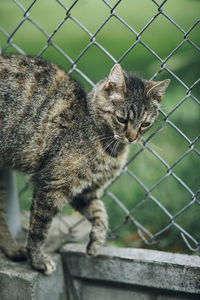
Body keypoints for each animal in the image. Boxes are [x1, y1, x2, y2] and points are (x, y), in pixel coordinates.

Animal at [0, 54, 170, 274]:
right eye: (122, 119)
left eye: (145, 124)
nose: (132, 138)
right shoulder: (51, 185)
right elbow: (39, 230)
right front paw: (37, 260)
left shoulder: (86, 191)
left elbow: (101, 214)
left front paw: (96, 244)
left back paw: (12, 249)